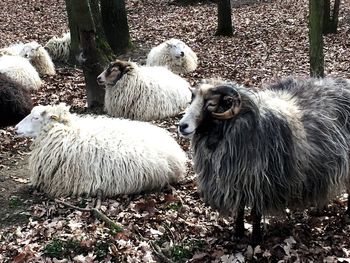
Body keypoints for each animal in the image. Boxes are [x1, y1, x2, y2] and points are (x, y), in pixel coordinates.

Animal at [178, 76, 350, 245]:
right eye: (191, 100)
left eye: (211, 104)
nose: (182, 126)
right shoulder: (237, 180)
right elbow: (240, 209)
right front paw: (238, 233)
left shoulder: (259, 181)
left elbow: (256, 213)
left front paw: (255, 239)